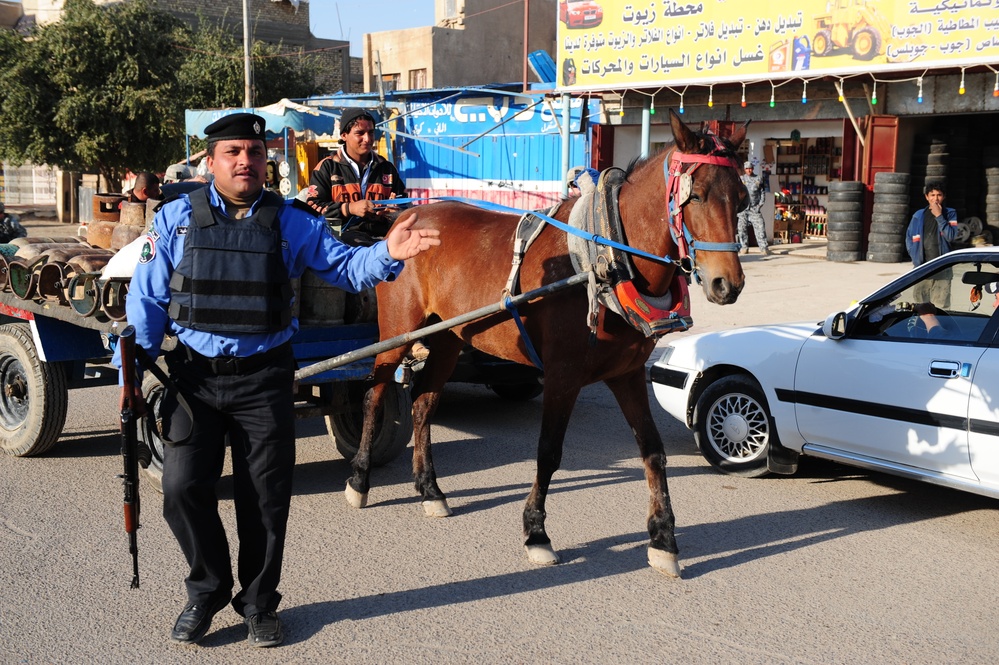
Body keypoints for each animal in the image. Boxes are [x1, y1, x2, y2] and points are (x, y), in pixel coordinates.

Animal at [348, 109, 748, 576]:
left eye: (742, 198)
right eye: (696, 196)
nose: (727, 284)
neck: (604, 260)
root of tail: (401, 221)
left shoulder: (628, 375)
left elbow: (652, 450)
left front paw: (663, 539)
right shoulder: (562, 376)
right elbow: (549, 452)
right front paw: (536, 531)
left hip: (445, 337)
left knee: (423, 403)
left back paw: (431, 490)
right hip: (397, 332)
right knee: (375, 396)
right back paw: (359, 479)